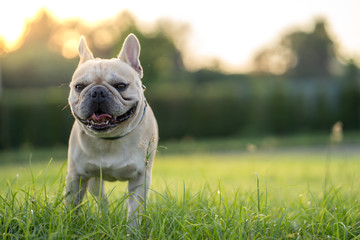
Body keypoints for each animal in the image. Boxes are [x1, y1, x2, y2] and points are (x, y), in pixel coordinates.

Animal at [65, 33, 158, 227]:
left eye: (120, 85)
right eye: (79, 86)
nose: (98, 92)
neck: (110, 139)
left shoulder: (140, 177)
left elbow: (135, 210)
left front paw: (133, 230)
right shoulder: (76, 176)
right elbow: (72, 205)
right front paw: (68, 225)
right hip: (94, 180)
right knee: (102, 201)